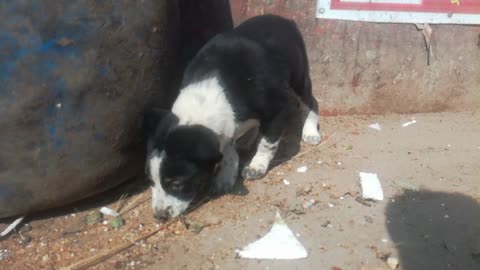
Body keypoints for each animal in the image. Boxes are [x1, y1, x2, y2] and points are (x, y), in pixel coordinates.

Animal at [144, 14, 320, 219]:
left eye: (176, 184)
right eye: (150, 181)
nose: (159, 216)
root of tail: (283, 19)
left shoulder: (279, 108)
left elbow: (267, 143)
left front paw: (256, 166)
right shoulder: (223, 129)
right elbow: (228, 150)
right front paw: (226, 176)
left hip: (299, 77)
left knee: (311, 102)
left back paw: (310, 132)